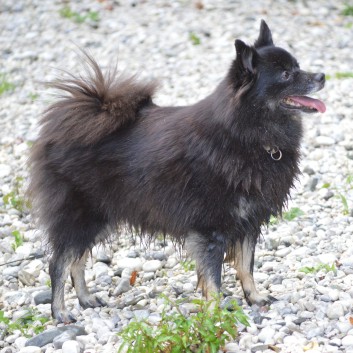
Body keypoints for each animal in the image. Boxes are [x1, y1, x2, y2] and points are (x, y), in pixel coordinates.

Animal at [28, 19, 326, 322]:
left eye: (298, 66)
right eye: (286, 75)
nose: (322, 76)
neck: (246, 135)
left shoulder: (248, 221)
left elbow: (246, 266)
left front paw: (254, 297)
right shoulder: (211, 230)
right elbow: (214, 278)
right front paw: (215, 314)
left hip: (102, 218)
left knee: (77, 261)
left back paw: (86, 299)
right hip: (82, 219)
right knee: (59, 263)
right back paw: (60, 311)